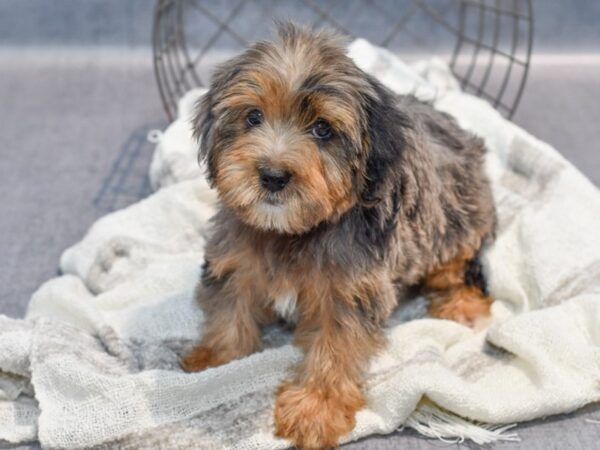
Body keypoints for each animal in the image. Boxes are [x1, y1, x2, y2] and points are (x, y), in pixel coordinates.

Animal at [182, 22, 496, 450]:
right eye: (253, 117)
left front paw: (316, 407)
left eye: (322, 129)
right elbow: (229, 307)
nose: (272, 176)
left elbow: (335, 347)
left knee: (462, 267)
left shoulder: (349, 290)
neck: (295, 232)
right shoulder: (236, 256)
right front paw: (216, 357)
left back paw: (461, 304)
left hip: (457, 220)